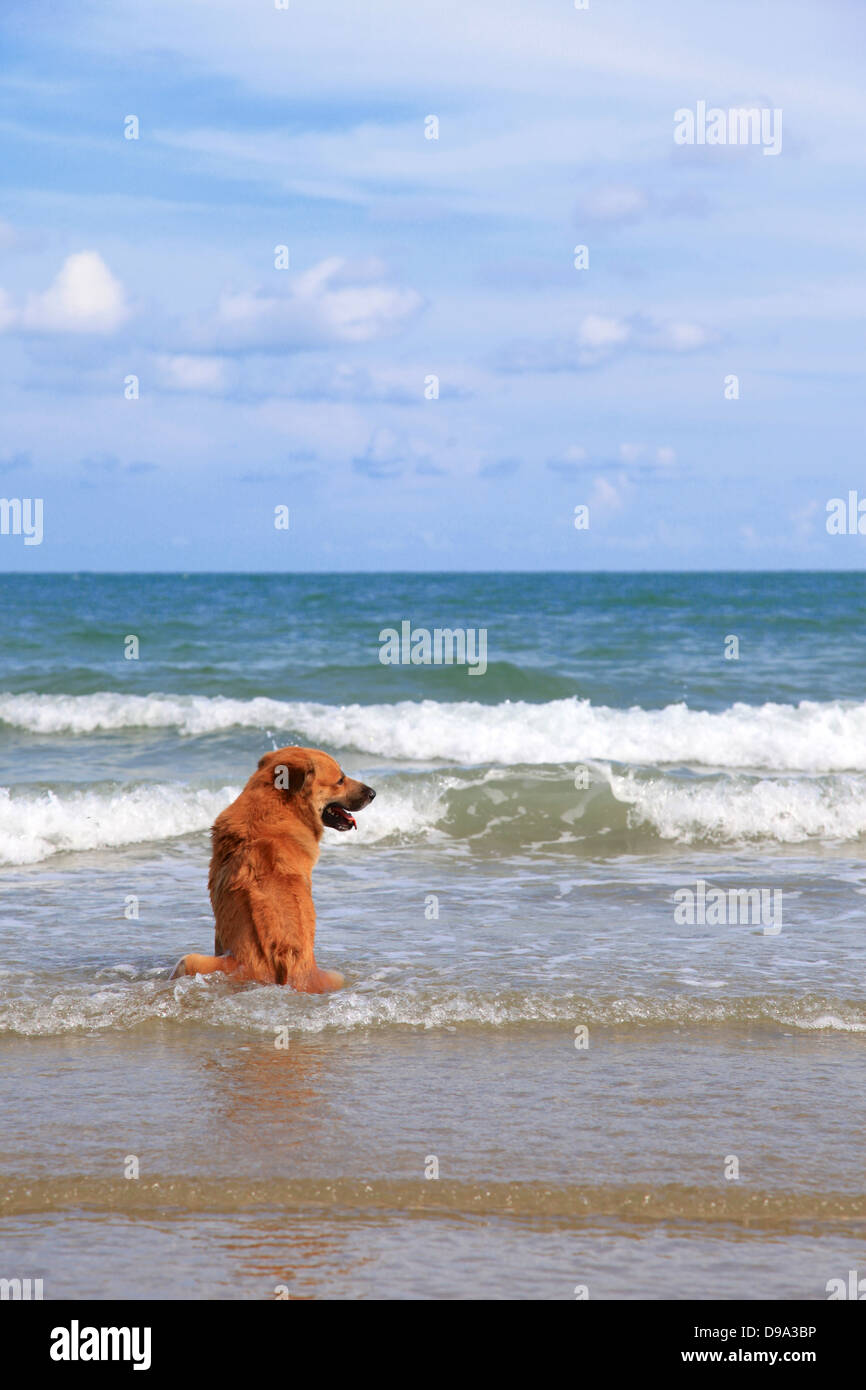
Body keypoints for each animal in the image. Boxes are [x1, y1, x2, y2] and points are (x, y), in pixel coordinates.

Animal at [170, 745, 375, 995]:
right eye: (340, 779)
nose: (373, 793)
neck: (281, 806)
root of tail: (287, 966)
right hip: (334, 976)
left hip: (190, 962)